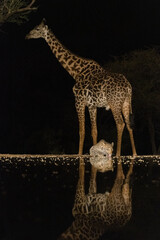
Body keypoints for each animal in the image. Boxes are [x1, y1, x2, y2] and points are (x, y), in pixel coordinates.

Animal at [25, 19, 137, 158]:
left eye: (37, 29)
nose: (27, 36)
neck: (76, 72)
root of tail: (128, 87)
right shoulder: (92, 105)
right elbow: (94, 131)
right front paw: (94, 152)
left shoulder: (79, 101)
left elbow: (81, 130)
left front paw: (79, 154)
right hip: (126, 102)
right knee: (129, 124)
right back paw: (135, 154)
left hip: (114, 103)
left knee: (120, 123)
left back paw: (117, 154)